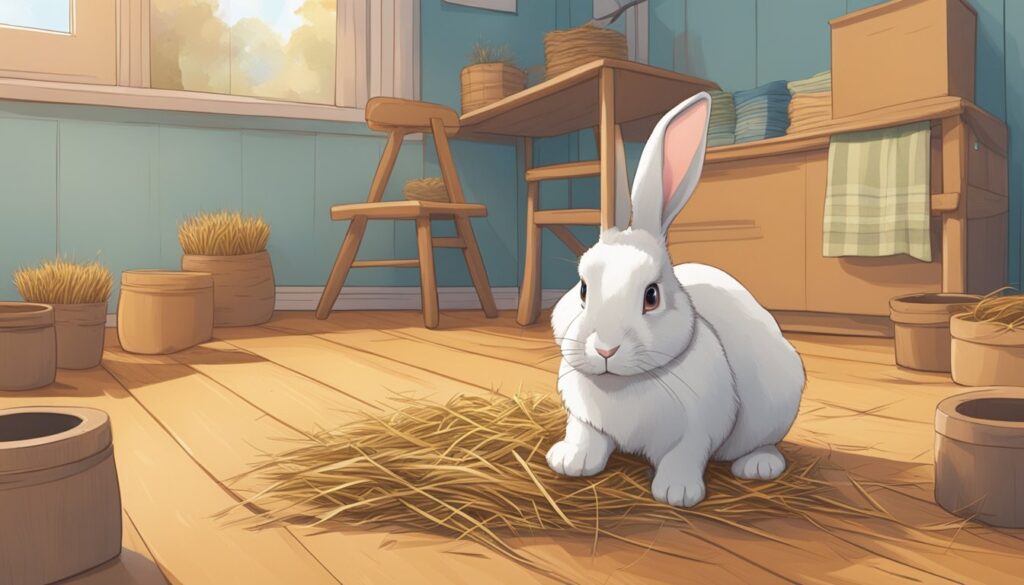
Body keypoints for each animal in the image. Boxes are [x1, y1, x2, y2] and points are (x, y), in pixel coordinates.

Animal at [547, 91, 805, 508]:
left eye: (651, 296)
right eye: (583, 289)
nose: (605, 349)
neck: (624, 384)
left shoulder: (701, 428)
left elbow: (683, 455)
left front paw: (677, 493)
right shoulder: (585, 418)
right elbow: (586, 435)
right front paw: (571, 461)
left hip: (779, 403)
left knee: (765, 443)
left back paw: (759, 466)